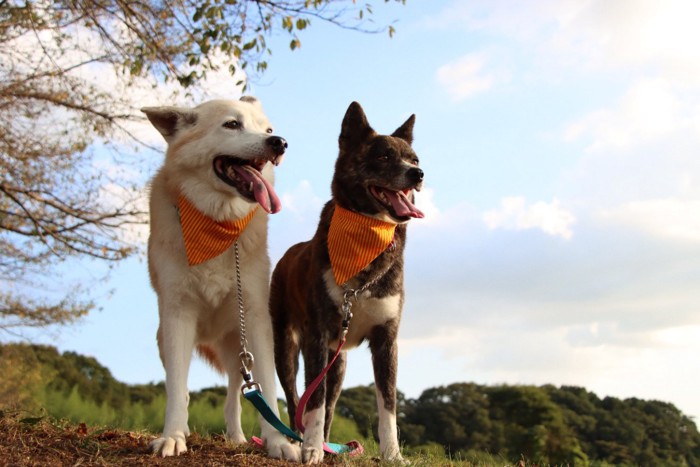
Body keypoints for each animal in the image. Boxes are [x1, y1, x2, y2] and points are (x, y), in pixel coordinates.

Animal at [142, 96, 298, 460]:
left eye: (267, 128)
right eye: (232, 124)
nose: (279, 142)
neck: (217, 225)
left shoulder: (255, 317)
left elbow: (267, 390)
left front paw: (278, 442)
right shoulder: (177, 314)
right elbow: (177, 390)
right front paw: (172, 436)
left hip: (237, 348)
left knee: (234, 396)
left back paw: (238, 438)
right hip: (168, 340)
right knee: (184, 386)